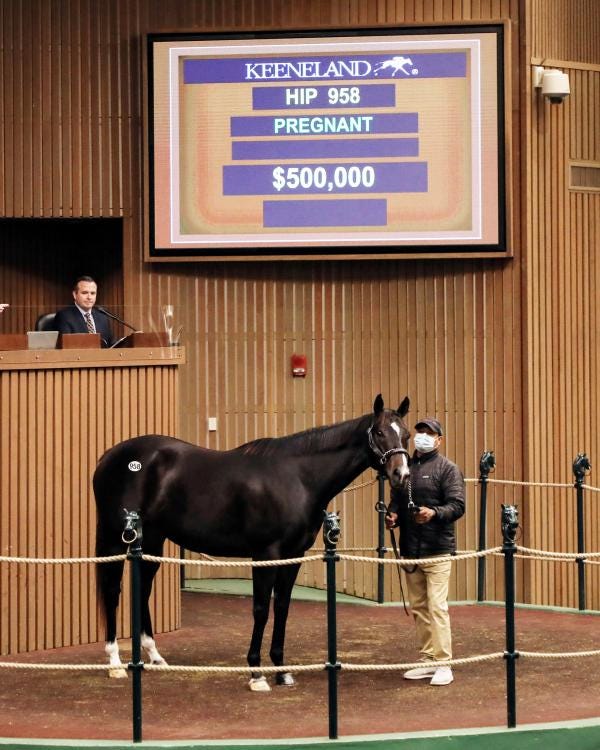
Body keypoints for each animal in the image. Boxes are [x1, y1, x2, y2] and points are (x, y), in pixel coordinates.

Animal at [94, 394, 411, 691]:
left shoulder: (294, 554)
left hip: (152, 540)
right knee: (112, 589)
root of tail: (109, 456)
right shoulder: (265, 553)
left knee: (143, 588)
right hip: (115, 537)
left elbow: (281, 606)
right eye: (379, 432)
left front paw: (282, 671)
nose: (401, 474)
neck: (297, 478)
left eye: (405, 434)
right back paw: (115, 662)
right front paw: (256, 673)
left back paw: (154, 656)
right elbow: (260, 609)